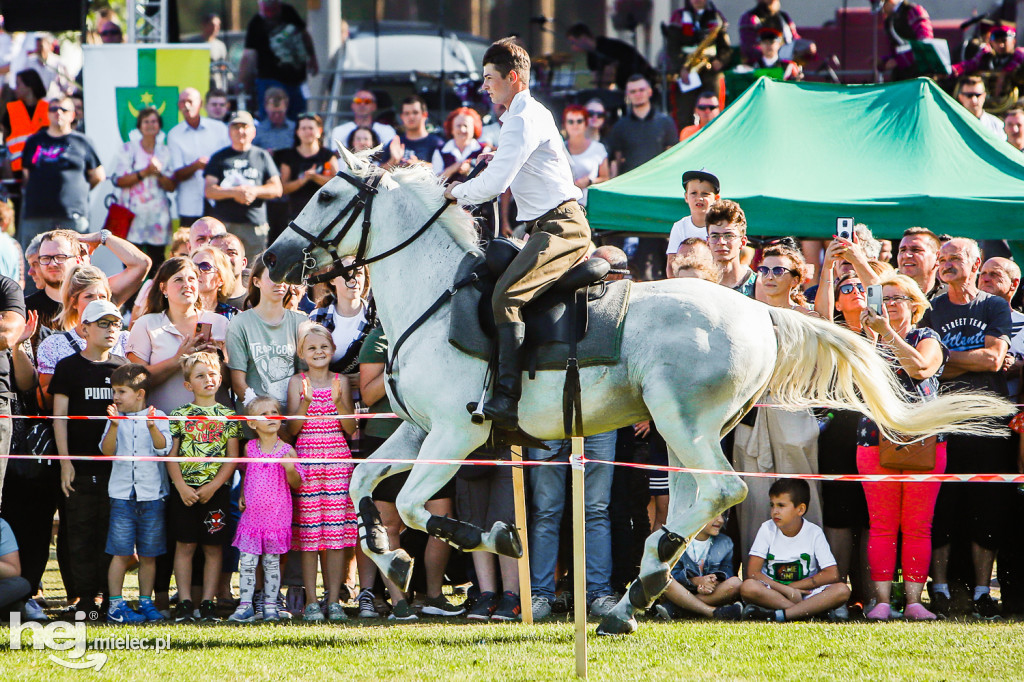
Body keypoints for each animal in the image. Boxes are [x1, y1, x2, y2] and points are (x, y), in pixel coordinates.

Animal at [262, 148, 1007, 630]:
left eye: (325, 196)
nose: (272, 259)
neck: (434, 296)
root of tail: (760, 312)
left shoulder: (455, 431)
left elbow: (419, 506)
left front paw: (497, 537)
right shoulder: (418, 427)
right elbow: (362, 483)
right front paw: (390, 561)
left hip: (682, 421)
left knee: (722, 491)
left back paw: (639, 588)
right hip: (685, 427)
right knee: (694, 498)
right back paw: (633, 596)